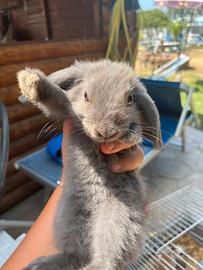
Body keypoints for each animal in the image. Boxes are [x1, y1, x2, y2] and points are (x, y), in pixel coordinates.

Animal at [17, 59, 162, 270]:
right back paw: (40, 264)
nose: (106, 132)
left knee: (105, 257)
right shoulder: (67, 111)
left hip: (117, 218)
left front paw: (129, 135)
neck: (95, 141)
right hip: (68, 220)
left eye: (129, 99)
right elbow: (57, 98)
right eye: (86, 95)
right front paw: (30, 80)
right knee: (73, 255)